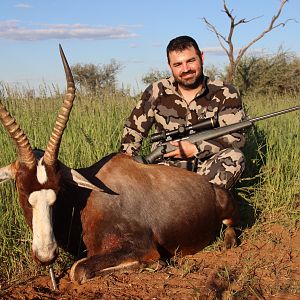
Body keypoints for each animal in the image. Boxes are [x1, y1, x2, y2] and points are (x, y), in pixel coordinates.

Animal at [0, 46, 239, 284]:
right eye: (21, 188)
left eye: (59, 188)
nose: (46, 255)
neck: (86, 198)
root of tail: (213, 188)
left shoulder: (143, 247)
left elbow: (78, 270)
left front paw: (156, 264)